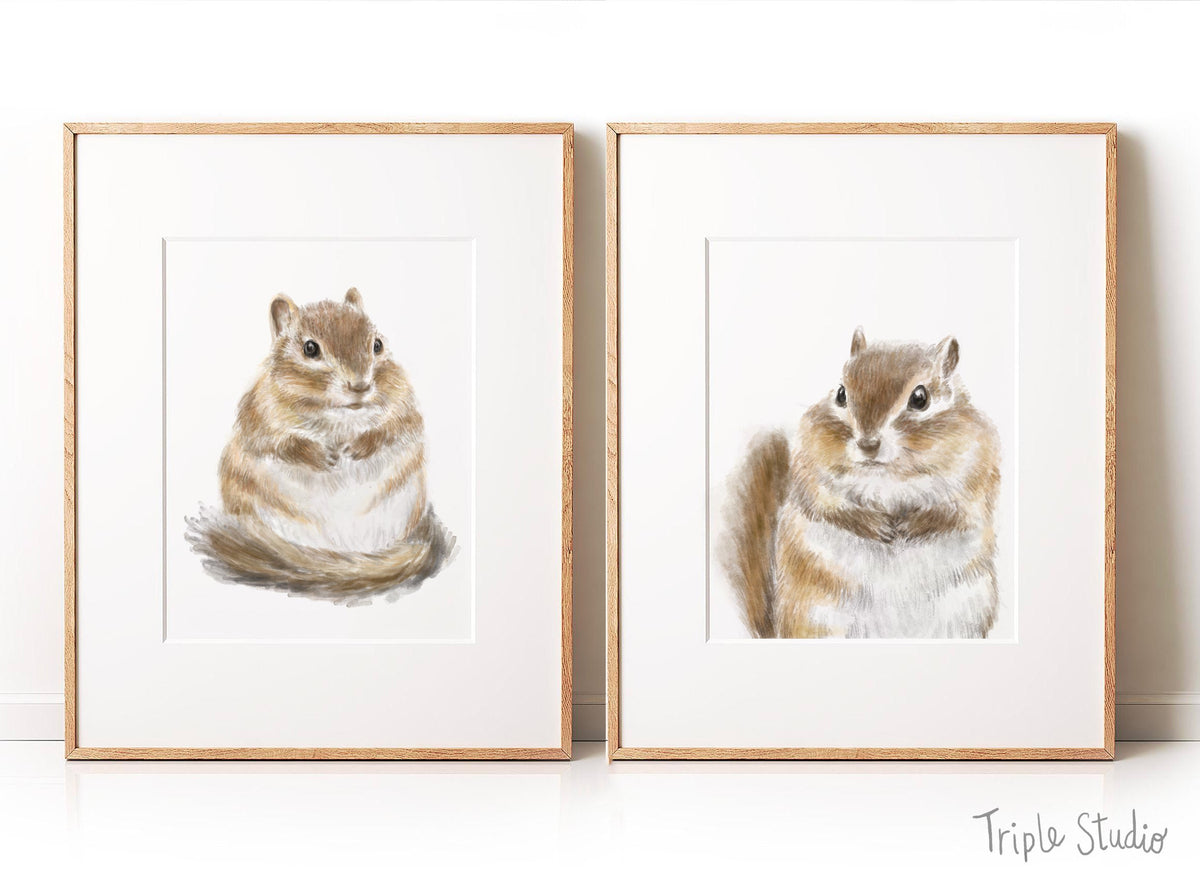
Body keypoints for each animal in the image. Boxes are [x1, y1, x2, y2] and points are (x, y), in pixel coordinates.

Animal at [185, 287, 454, 604]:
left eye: (377, 345)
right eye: (310, 349)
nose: (360, 386)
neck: (338, 414)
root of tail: (341, 552)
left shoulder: (404, 406)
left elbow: (394, 429)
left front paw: (358, 446)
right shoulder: (259, 416)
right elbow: (281, 444)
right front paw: (320, 455)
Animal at [719, 327, 1001, 638]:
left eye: (920, 398)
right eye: (841, 394)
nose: (868, 444)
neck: (888, 475)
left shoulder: (977, 475)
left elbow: (955, 513)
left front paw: (914, 524)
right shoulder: (810, 471)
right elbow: (828, 507)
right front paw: (874, 525)